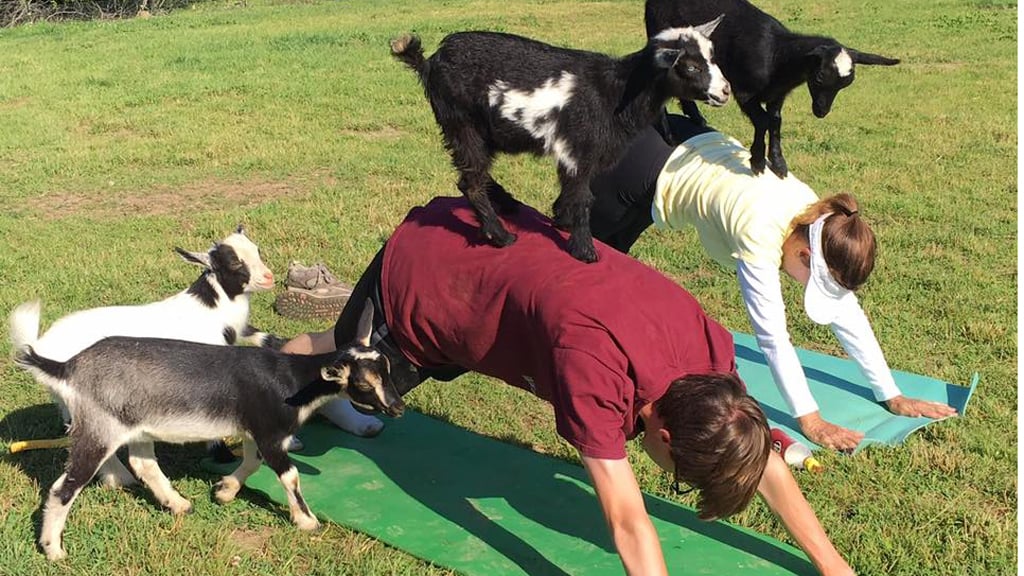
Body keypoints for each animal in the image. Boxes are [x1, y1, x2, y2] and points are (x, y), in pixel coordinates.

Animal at [12, 297, 405, 557]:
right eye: (364, 383)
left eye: (387, 369)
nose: (398, 407)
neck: (291, 380)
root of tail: (67, 367)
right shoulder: (270, 432)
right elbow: (289, 475)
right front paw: (306, 521)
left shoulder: (253, 429)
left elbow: (252, 463)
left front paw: (224, 491)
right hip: (98, 430)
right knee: (64, 487)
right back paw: (53, 549)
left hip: (136, 426)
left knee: (142, 464)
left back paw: (178, 504)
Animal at [389, 23, 729, 261]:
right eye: (690, 66)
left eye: (713, 57)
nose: (725, 92)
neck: (615, 91)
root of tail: (428, 63)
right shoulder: (577, 149)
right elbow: (582, 196)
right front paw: (584, 250)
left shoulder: (576, 154)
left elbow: (572, 192)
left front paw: (562, 221)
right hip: (462, 122)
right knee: (470, 181)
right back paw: (501, 236)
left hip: (478, 131)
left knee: (475, 175)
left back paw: (507, 204)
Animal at [643, 0, 901, 177]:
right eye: (819, 77)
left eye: (845, 85)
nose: (821, 111)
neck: (777, 57)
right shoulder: (744, 92)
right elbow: (763, 121)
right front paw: (757, 160)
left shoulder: (777, 95)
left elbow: (775, 121)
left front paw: (777, 163)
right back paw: (669, 135)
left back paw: (696, 118)